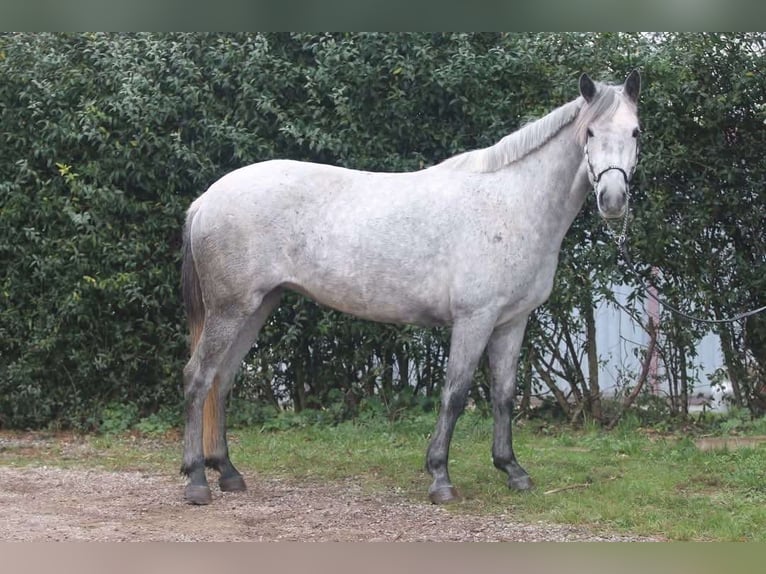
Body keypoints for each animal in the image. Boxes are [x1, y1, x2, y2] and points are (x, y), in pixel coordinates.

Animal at [180, 70, 641, 505]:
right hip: (230, 310)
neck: (512, 202)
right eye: (590, 132)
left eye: (636, 131)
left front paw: (512, 470)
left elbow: (504, 395)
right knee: (198, 377)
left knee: (222, 380)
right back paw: (196, 481)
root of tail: (206, 200)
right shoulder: (475, 319)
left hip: (257, 307)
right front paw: (440, 478)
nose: (613, 200)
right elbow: (455, 393)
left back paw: (228, 472)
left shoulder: (512, 322)